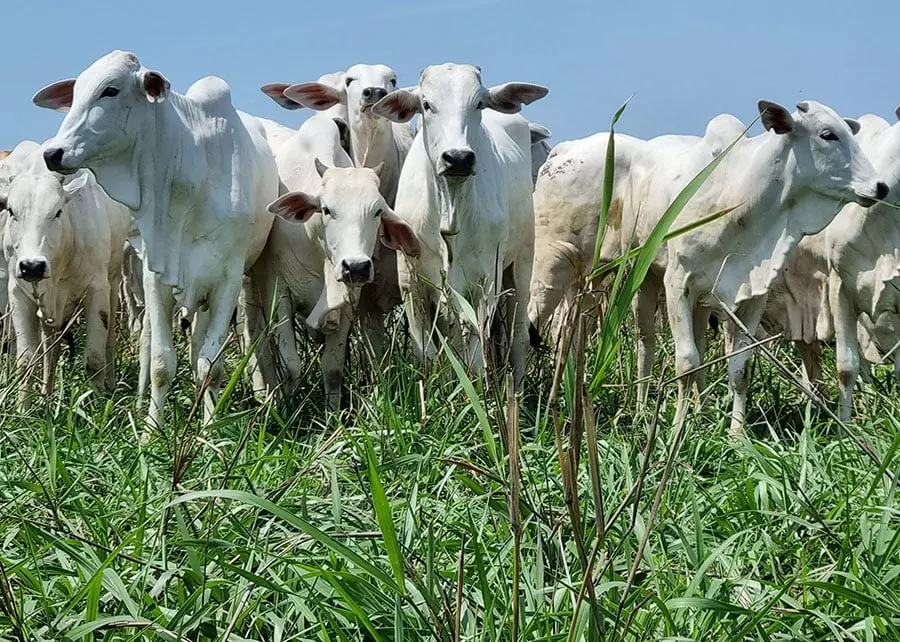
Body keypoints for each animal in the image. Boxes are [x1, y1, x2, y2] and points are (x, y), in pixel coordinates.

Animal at [0, 150, 130, 402]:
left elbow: (94, 360)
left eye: (57, 212)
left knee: (109, 340)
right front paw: (24, 408)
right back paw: (47, 394)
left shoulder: (97, 290)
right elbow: (26, 363)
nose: (32, 266)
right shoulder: (18, 294)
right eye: (11, 211)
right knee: (50, 347)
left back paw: (110, 385)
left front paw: (97, 406)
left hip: (113, 283)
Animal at [34, 50, 278, 424]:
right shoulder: (156, 275)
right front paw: (151, 429)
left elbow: (211, 366)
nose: (53, 153)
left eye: (110, 90)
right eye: (74, 94)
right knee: (152, 345)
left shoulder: (228, 279)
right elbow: (162, 362)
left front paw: (209, 428)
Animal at [372, 63, 548, 384]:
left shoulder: (484, 283)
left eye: (478, 103)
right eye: (426, 104)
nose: (458, 158)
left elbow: (475, 358)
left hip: (521, 263)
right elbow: (427, 354)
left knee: (517, 339)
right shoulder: (412, 283)